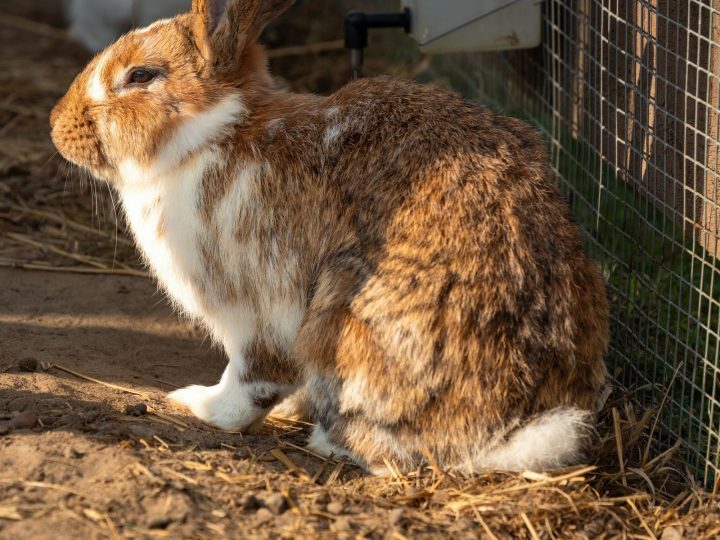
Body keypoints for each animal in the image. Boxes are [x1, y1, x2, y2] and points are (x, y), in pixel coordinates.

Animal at [50, 0, 609, 475]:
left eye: (141, 75)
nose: (57, 126)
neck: (213, 136)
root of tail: (504, 434)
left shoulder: (254, 307)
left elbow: (249, 380)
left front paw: (197, 403)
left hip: (340, 317)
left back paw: (325, 440)